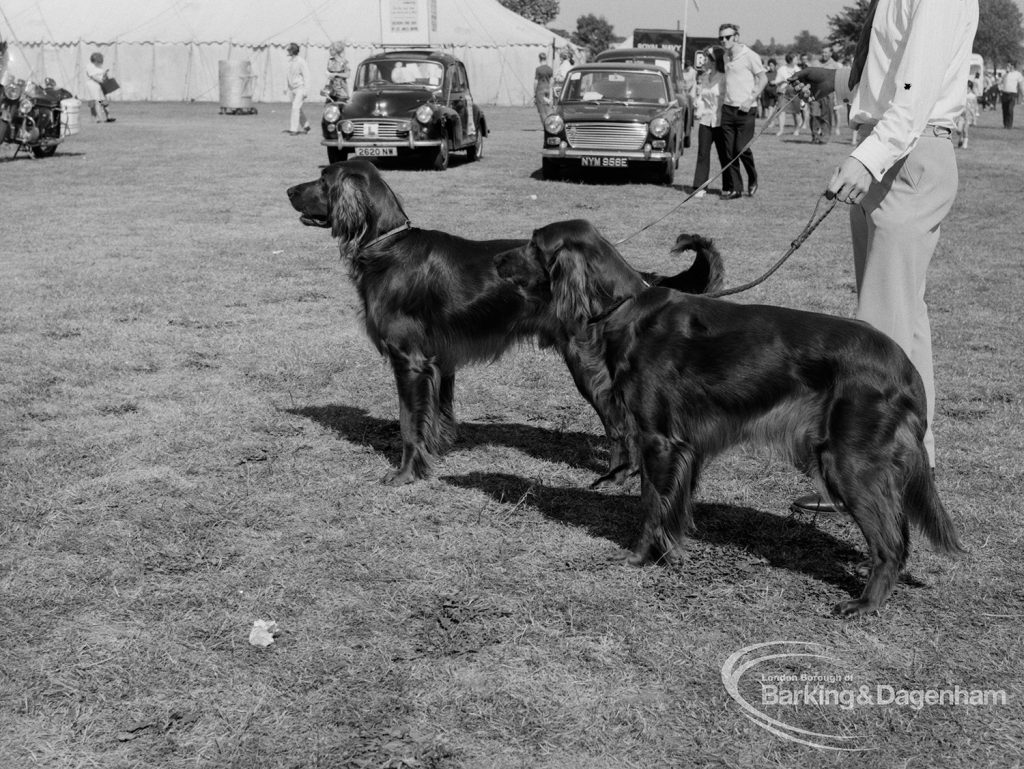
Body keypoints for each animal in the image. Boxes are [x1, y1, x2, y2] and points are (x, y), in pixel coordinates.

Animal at [284, 161, 724, 483]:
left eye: (323, 179)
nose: (288, 191)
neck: (387, 247)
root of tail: (630, 280)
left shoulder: (409, 360)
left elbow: (409, 424)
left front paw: (406, 474)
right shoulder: (440, 361)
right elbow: (436, 415)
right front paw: (434, 454)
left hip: (588, 365)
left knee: (620, 424)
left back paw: (617, 477)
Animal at [499, 219, 962, 618]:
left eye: (534, 244)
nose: (497, 259)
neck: (627, 310)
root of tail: (906, 367)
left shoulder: (658, 440)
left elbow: (650, 504)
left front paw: (636, 556)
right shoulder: (683, 448)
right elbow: (673, 507)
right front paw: (671, 555)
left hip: (848, 461)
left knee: (890, 542)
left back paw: (865, 603)